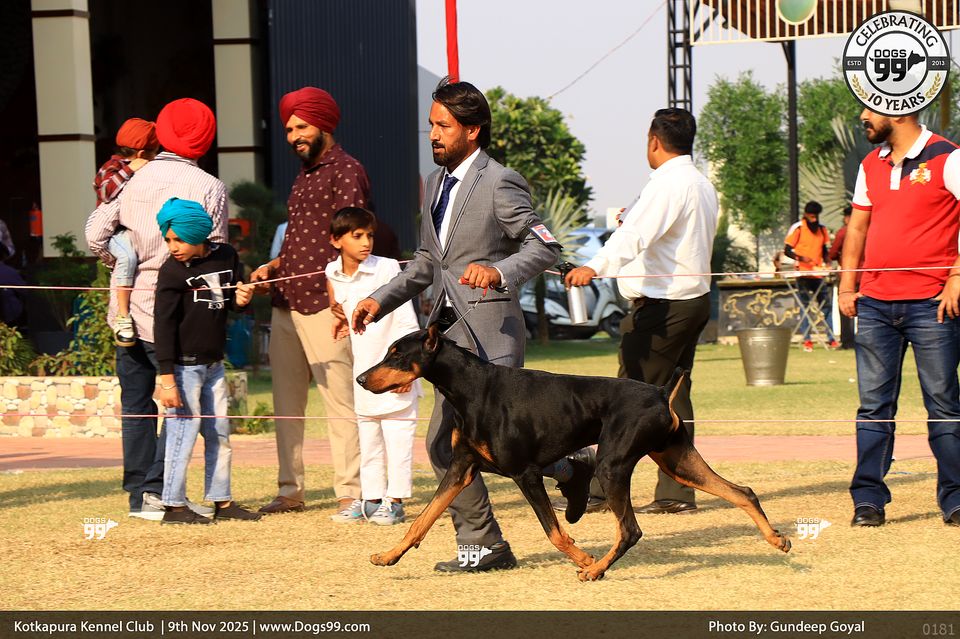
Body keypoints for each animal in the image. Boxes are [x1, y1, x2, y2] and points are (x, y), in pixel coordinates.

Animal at [357, 324, 791, 581]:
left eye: (396, 353)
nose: (361, 378)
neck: (472, 389)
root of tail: (660, 393)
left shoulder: (525, 473)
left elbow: (554, 532)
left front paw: (582, 559)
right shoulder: (461, 468)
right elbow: (422, 520)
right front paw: (387, 556)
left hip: (614, 465)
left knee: (631, 529)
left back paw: (595, 569)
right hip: (677, 460)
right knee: (742, 492)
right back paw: (777, 540)